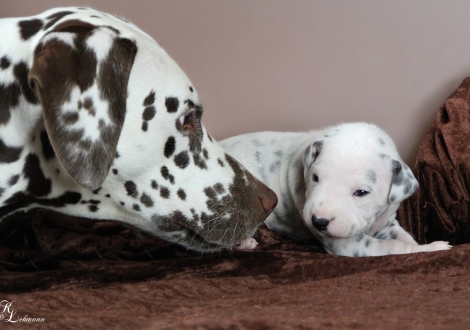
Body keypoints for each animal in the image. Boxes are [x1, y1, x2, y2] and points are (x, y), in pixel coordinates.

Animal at [222, 122, 454, 256]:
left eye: (361, 192)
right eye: (315, 178)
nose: (318, 221)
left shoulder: (387, 223)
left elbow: (404, 238)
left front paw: (420, 245)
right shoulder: (349, 244)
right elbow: (394, 247)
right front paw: (432, 248)